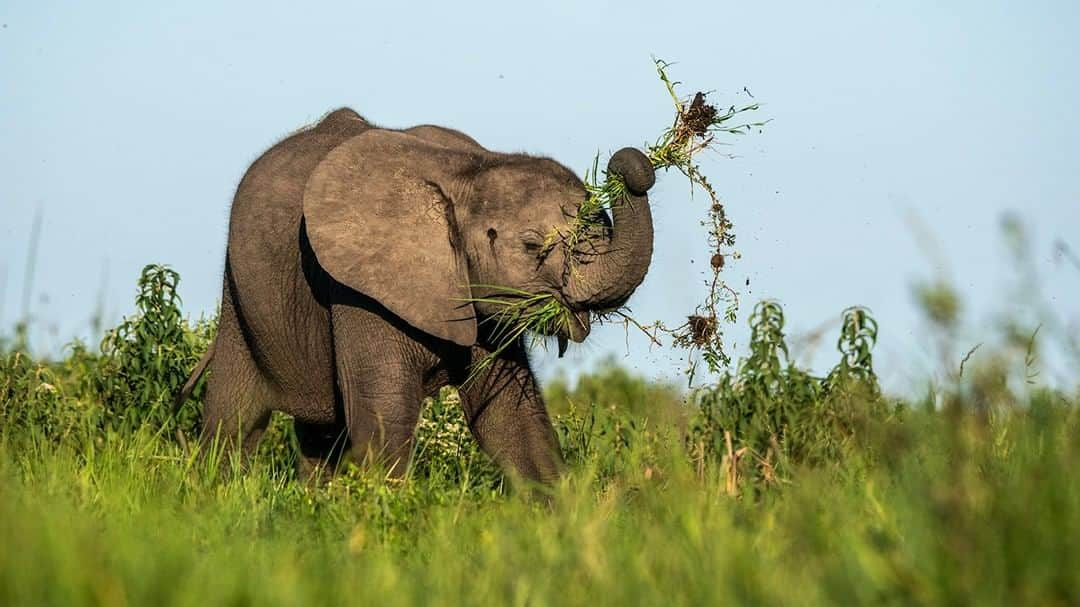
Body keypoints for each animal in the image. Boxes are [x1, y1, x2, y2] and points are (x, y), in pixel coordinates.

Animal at [177, 107, 652, 481]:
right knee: (233, 418)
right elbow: (384, 416)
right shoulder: (358, 284)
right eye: (533, 246)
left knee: (320, 436)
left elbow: (510, 416)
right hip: (240, 295)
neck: (469, 173)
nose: (627, 165)